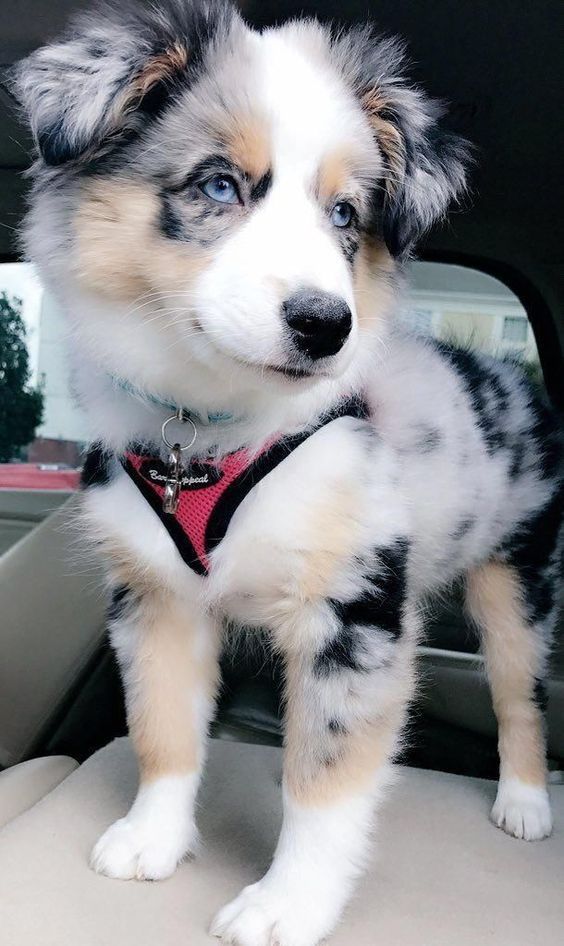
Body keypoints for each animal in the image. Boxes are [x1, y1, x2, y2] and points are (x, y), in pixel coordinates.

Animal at [13, 1, 560, 944]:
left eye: (345, 214)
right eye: (218, 186)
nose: (325, 324)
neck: (212, 431)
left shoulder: (359, 606)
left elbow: (330, 781)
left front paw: (290, 902)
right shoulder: (154, 596)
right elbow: (162, 725)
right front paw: (151, 840)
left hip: (516, 575)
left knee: (519, 692)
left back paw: (524, 803)